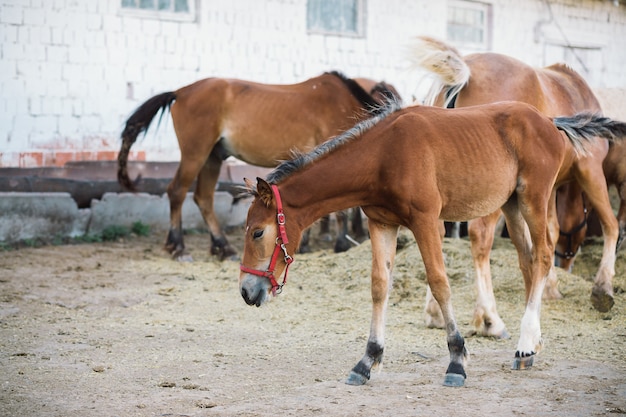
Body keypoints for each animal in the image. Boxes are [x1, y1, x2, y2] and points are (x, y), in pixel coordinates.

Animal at [118, 72, 400, 260]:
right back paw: (178, 247)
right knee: (177, 191)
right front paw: (341, 242)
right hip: (195, 153)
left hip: (212, 158)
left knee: (204, 198)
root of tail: (181, 91)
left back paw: (223, 247)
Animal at [235, 100, 624, 386]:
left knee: (543, 255)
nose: (246, 292)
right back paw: (532, 346)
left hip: (535, 197)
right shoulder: (381, 222)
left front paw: (457, 360)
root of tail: (549, 121)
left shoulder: (425, 220)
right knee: (528, 262)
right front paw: (367, 360)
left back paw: (525, 347)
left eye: (258, 232)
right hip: (512, 204)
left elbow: (439, 282)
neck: (383, 154)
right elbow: (380, 285)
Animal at [408, 35, 616, 342]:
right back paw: (490, 319)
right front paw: (603, 288)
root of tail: (467, 70)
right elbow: (610, 225)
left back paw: (435, 313)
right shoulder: (590, 169)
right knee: (480, 236)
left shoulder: (544, 188)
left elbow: (549, 233)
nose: (567, 264)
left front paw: (548, 286)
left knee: (437, 236)